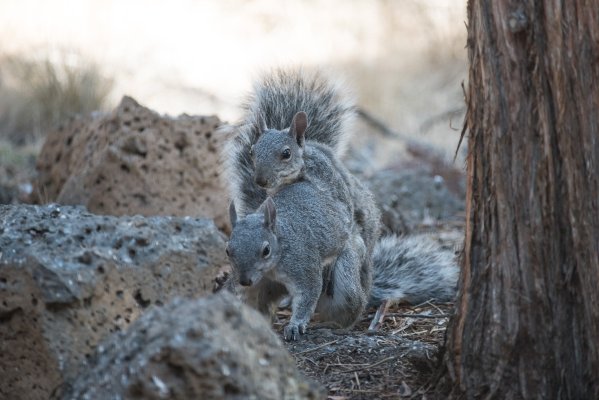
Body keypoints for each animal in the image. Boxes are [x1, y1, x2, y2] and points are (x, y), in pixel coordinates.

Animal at [224, 69, 460, 340]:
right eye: (228, 251)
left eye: (285, 154)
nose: (260, 180)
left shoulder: (305, 265)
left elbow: (308, 293)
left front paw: (296, 325)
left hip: (348, 275)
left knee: (347, 308)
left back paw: (331, 323)